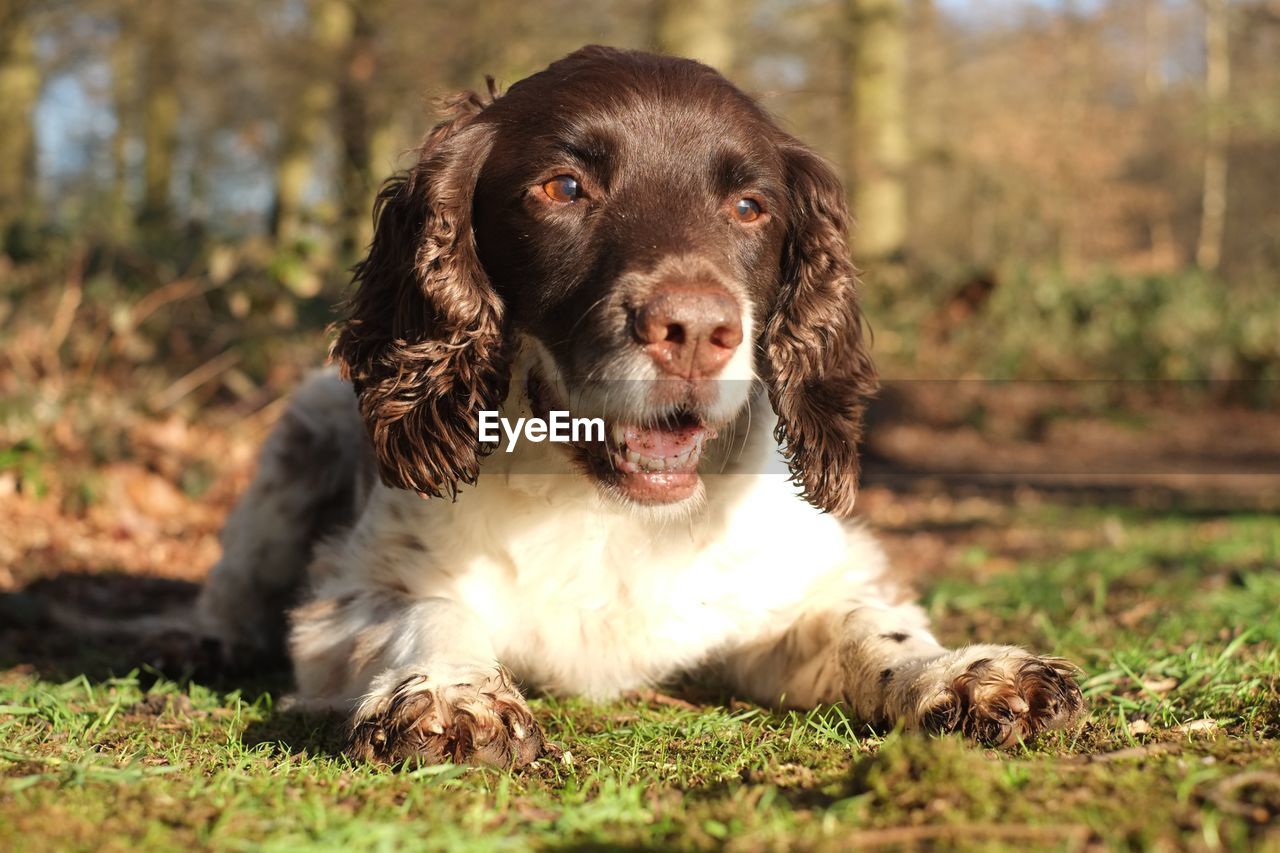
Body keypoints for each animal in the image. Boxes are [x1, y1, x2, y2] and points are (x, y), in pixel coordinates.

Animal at [194, 46, 1085, 763]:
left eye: (750, 207)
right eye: (563, 187)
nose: (695, 329)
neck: (607, 511)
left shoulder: (796, 590)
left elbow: (875, 626)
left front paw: (967, 672)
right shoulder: (357, 587)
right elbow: (429, 611)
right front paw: (452, 692)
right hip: (299, 440)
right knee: (236, 577)